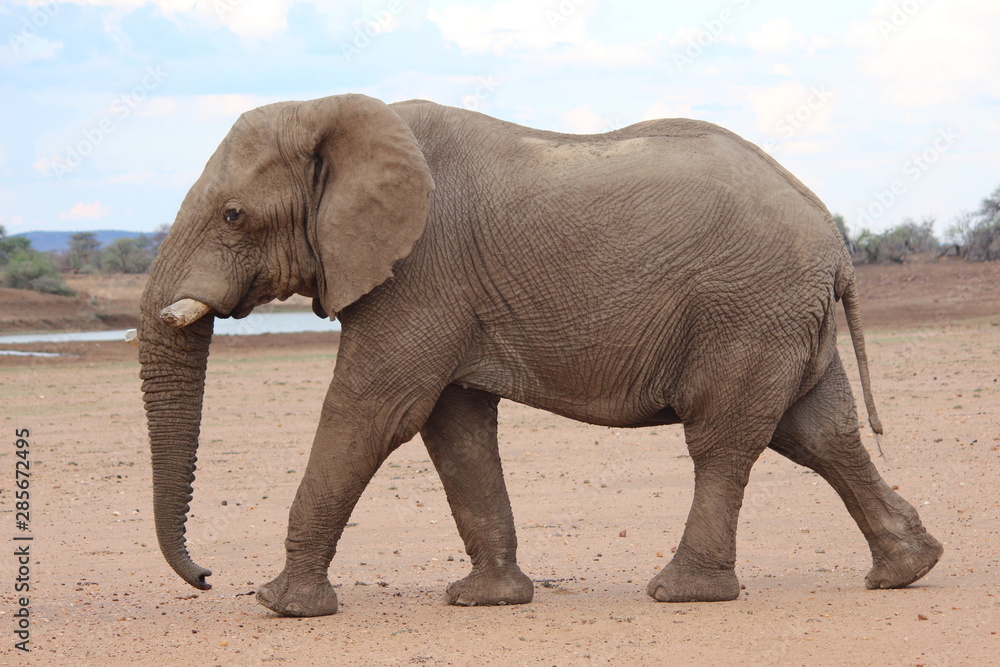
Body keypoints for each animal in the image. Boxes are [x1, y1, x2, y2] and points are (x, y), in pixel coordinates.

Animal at [136, 93, 942, 617]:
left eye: (233, 215)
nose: (206, 576)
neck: (336, 113)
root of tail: (836, 244)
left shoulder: (422, 272)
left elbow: (373, 411)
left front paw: (281, 604)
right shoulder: (446, 293)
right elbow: (454, 428)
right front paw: (487, 601)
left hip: (746, 310)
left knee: (724, 441)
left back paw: (681, 592)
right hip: (781, 315)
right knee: (818, 432)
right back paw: (906, 569)